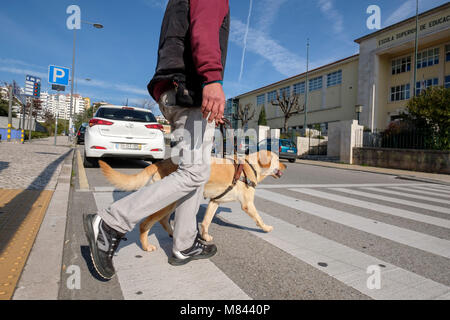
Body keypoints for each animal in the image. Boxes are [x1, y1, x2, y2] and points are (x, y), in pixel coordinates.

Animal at [100, 151, 286, 254]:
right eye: (278, 159)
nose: (285, 166)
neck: (251, 166)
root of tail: (162, 161)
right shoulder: (248, 204)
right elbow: (259, 218)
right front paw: (266, 228)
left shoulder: (214, 202)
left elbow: (206, 222)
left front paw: (204, 236)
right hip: (168, 201)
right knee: (146, 224)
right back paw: (146, 246)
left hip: (174, 202)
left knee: (163, 220)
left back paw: (173, 234)